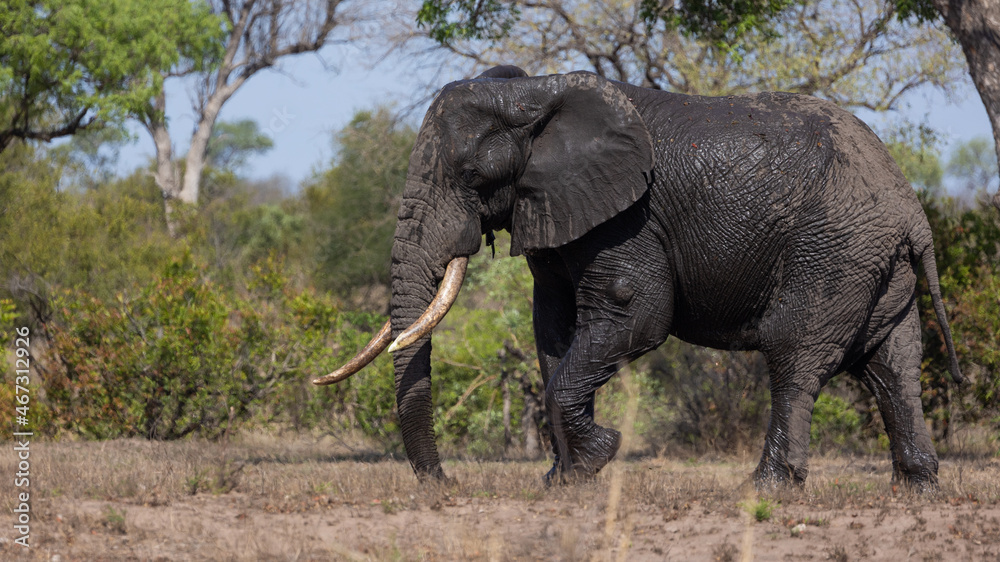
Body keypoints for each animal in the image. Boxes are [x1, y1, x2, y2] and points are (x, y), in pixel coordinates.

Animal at [316, 64, 964, 486]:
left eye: (472, 174)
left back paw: (768, 488)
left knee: (795, 354)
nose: (443, 485)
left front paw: (598, 457)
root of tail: (912, 208)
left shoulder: (628, 218)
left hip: (833, 249)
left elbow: (638, 312)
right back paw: (915, 486)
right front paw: (564, 482)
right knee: (893, 363)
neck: (531, 90)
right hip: (876, 263)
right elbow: (552, 330)